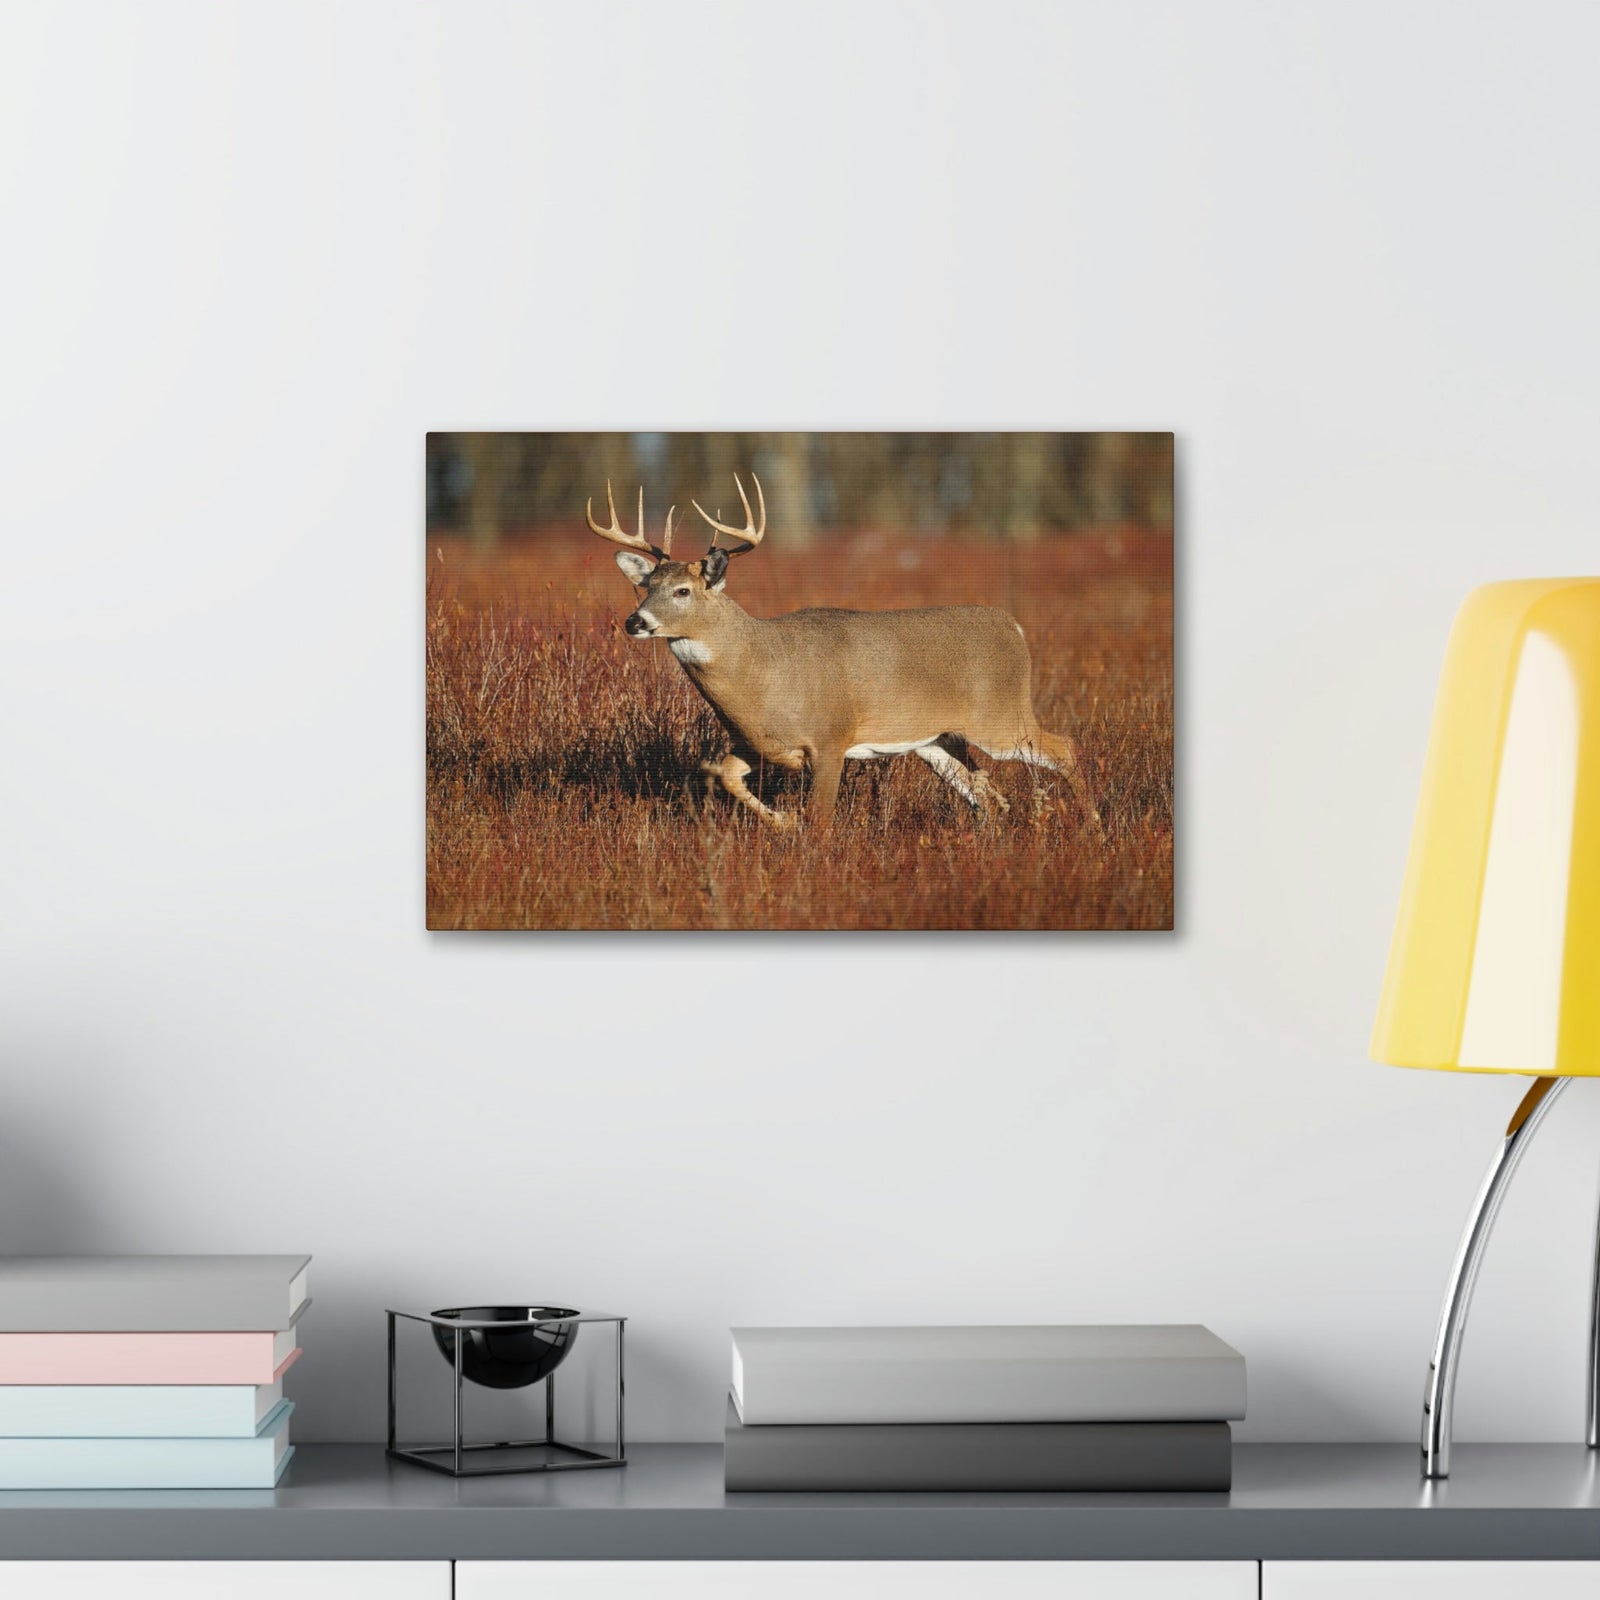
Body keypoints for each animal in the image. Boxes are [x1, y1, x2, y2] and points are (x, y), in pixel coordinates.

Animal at [585, 474, 1101, 834]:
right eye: (645, 586)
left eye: (683, 590)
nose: (635, 622)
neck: (763, 670)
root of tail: (1013, 626)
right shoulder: (754, 742)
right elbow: (726, 776)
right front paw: (783, 822)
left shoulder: (830, 738)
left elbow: (822, 822)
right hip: (936, 739)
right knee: (982, 788)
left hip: (1000, 717)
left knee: (1064, 747)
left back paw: (1094, 827)